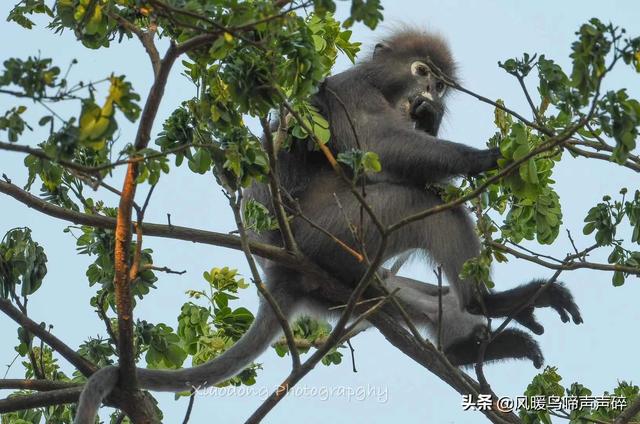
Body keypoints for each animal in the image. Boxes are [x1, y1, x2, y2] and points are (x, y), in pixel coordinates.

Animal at [72, 28, 584, 422]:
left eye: (440, 86)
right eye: (421, 72)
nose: (429, 95)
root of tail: (281, 269)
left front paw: (431, 120)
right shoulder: (350, 89)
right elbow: (380, 144)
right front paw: (485, 158)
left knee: (423, 293)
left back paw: (466, 345)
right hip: (338, 229)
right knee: (430, 202)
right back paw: (493, 302)